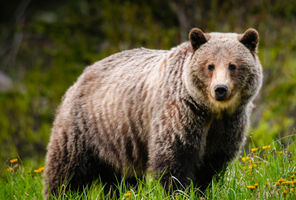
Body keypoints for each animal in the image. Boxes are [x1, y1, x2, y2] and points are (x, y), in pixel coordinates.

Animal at [43, 27, 262, 198]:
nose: (220, 89)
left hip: (117, 141)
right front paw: (179, 192)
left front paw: (204, 190)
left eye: (233, 65)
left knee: (119, 178)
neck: (209, 111)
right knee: (67, 169)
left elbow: (212, 164)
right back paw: (59, 192)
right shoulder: (180, 115)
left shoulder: (227, 125)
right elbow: (174, 159)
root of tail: (82, 75)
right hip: (85, 126)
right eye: (210, 65)